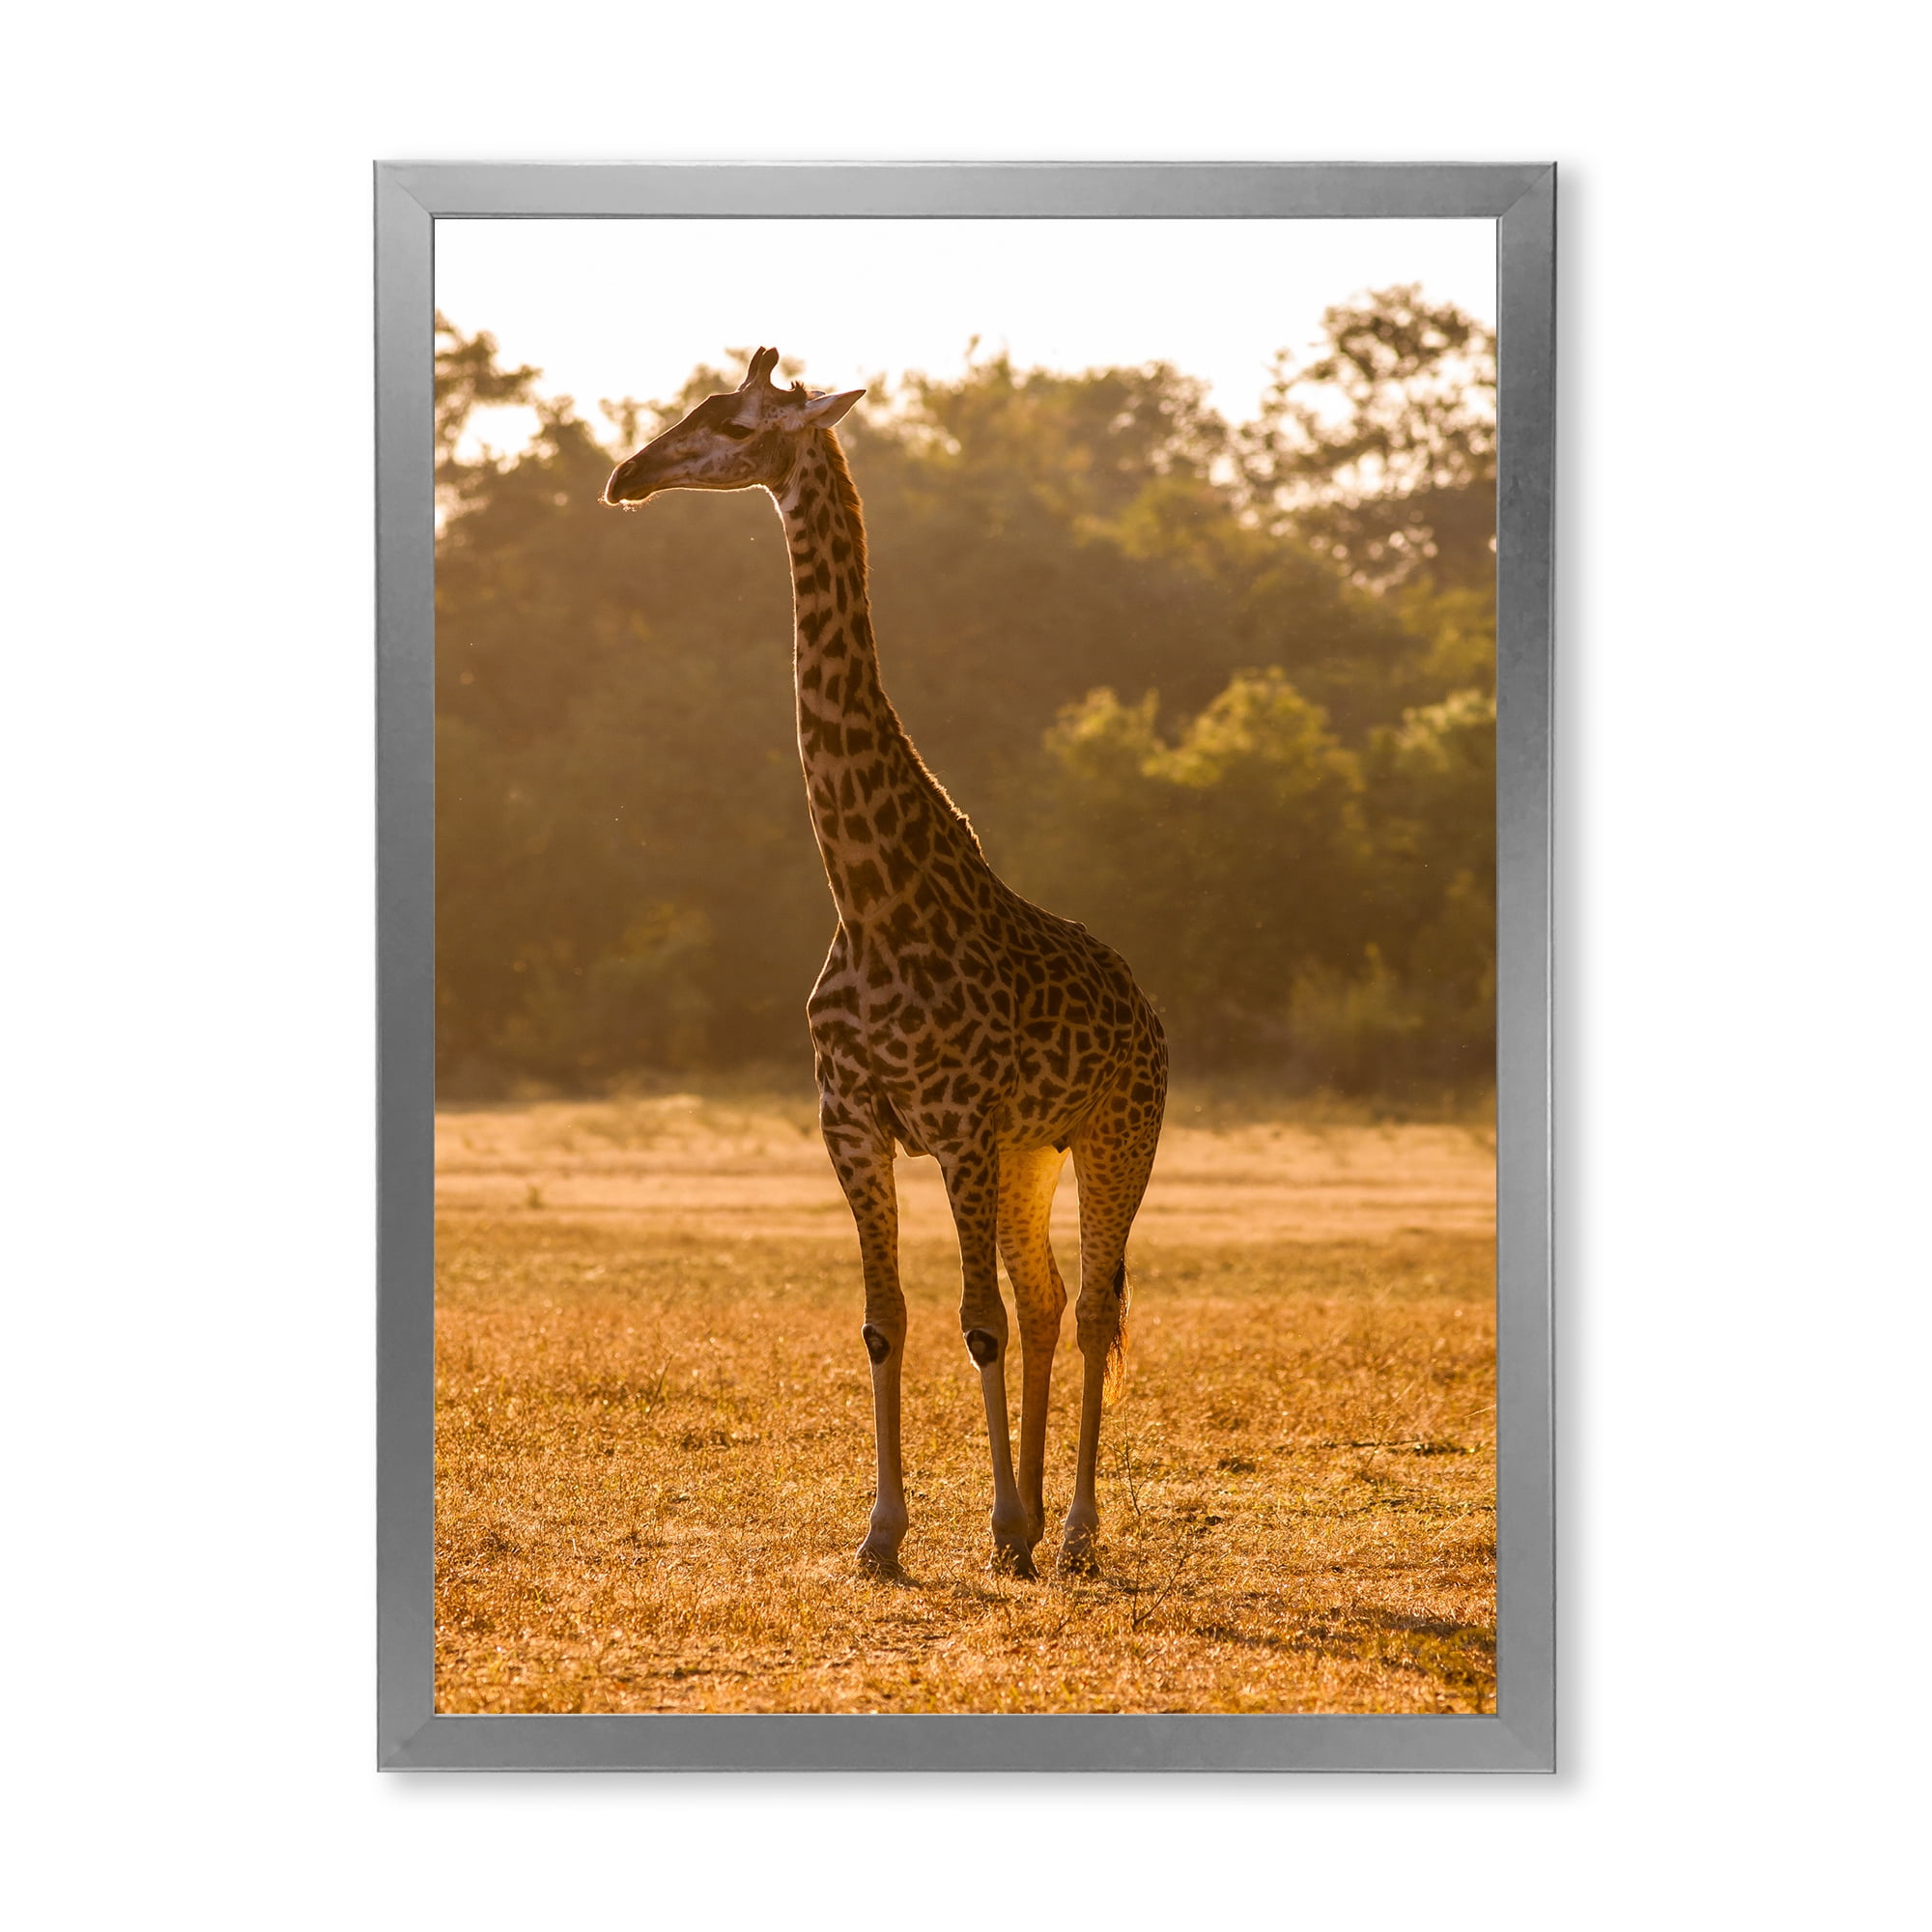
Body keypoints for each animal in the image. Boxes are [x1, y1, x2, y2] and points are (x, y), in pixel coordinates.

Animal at [603, 348, 1167, 1578]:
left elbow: (972, 1324)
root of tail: (1149, 1005)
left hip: (1115, 1131)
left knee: (1094, 1306)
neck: (867, 898)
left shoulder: (953, 1123)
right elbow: (888, 1319)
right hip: (1029, 1151)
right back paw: (1037, 1517)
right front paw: (887, 1532)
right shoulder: (854, 1123)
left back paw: (1070, 1531)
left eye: (735, 423)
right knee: (1046, 1296)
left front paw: (998, 1523)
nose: (628, 475)